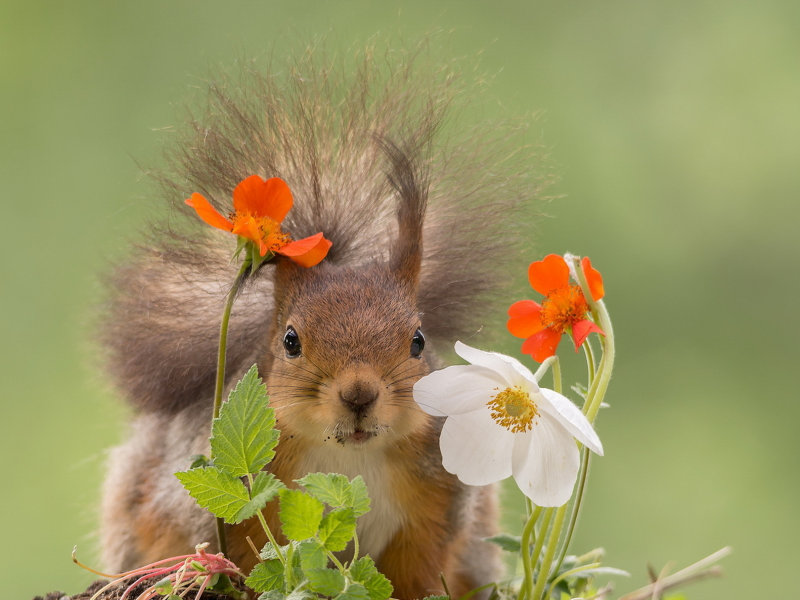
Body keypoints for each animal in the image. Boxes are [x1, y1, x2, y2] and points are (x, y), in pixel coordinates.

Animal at [97, 47, 548, 600]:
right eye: (290, 341)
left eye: (418, 341)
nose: (358, 395)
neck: (347, 457)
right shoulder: (237, 512)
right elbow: (250, 562)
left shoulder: (435, 510)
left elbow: (416, 574)